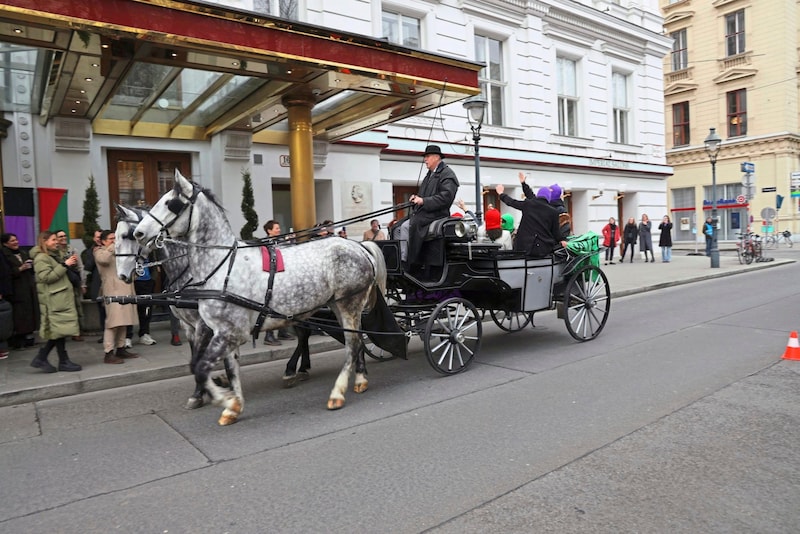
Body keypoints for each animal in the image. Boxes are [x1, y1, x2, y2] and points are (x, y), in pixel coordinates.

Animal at [132, 171, 388, 428]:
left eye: (170, 203)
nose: (139, 233)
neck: (222, 266)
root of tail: (358, 246)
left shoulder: (230, 331)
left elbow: (201, 368)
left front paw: (224, 399)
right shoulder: (220, 330)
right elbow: (225, 367)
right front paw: (233, 406)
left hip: (349, 303)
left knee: (352, 343)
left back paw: (337, 392)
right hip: (337, 304)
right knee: (355, 340)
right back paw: (359, 379)